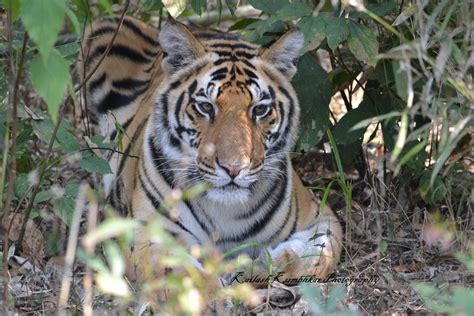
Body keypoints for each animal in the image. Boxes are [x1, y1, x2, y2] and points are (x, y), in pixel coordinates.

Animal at [78, 14, 344, 290]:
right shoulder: (147, 234)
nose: (234, 168)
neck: (226, 211)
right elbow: (183, 278)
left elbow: (316, 257)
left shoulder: (323, 217)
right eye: (205, 107)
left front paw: (256, 266)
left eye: (259, 110)